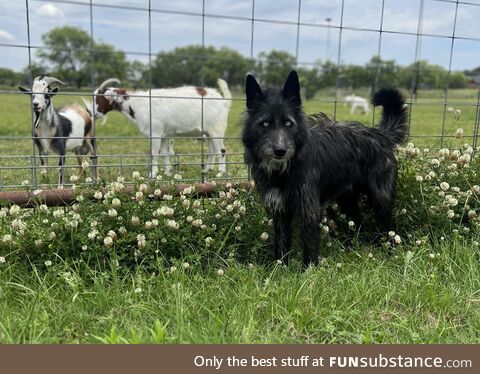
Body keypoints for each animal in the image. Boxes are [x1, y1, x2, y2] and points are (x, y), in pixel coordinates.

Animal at [92, 78, 232, 177]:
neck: (138, 104)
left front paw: (153, 174)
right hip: (208, 132)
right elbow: (164, 153)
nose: (94, 113)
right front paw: (168, 172)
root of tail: (224, 101)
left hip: (216, 129)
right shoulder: (164, 135)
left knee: (221, 150)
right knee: (212, 150)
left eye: (99, 98)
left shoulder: (155, 133)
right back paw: (207, 170)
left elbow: (154, 153)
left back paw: (220, 173)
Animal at [242, 71, 406, 268]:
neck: (285, 170)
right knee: (358, 222)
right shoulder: (280, 210)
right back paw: (351, 250)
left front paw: (308, 272)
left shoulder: (309, 209)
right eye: (265, 124)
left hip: (381, 199)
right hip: (347, 200)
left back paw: (393, 255)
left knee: (391, 229)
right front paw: (279, 270)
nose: (280, 151)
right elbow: (281, 247)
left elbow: (310, 247)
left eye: (288, 123)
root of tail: (380, 134)